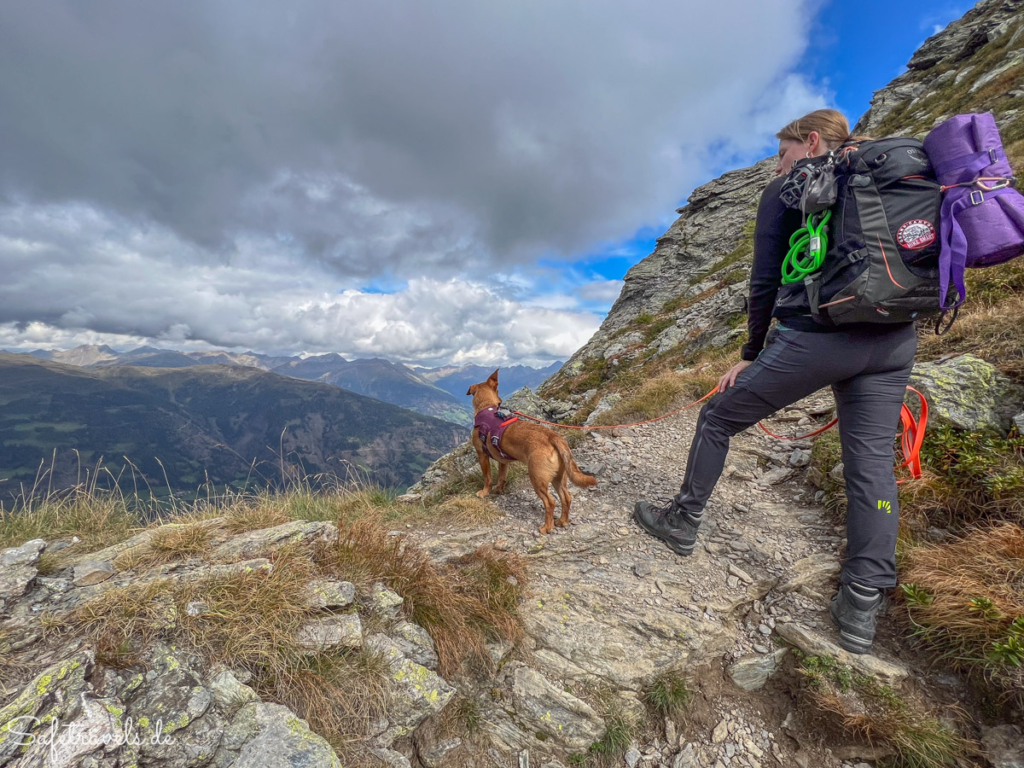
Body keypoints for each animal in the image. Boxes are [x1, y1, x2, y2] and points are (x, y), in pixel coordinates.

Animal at [466, 370, 598, 536]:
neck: (487, 407)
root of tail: (553, 437)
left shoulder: (482, 456)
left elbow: (487, 478)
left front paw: (484, 493)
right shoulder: (503, 461)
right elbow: (502, 477)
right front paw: (499, 490)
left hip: (537, 478)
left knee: (550, 502)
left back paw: (546, 527)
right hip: (558, 477)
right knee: (566, 498)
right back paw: (562, 521)